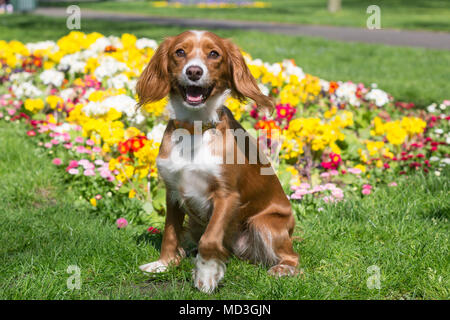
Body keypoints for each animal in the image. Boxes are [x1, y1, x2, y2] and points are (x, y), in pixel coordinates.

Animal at [137, 30, 298, 292]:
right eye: (179, 52)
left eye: (214, 54)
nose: (194, 71)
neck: (195, 128)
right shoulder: (173, 191)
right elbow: (170, 232)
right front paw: (164, 264)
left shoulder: (226, 194)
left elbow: (210, 240)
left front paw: (206, 274)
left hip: (266, 223)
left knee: (293, 257)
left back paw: (283, 268)